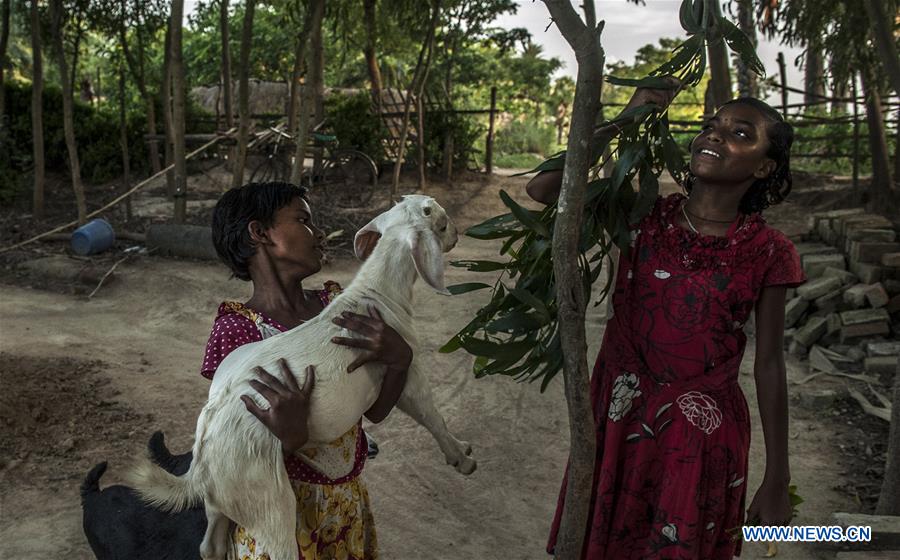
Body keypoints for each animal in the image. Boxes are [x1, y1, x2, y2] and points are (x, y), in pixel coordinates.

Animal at [131, 196, 478, 560]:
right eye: (440, 222)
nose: (457, 234)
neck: (377, 294)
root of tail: (201, 462)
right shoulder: (405, 365)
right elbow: (431, 415)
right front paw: (461, 457)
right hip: (267, 497)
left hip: (223, 498)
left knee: (210, 544)